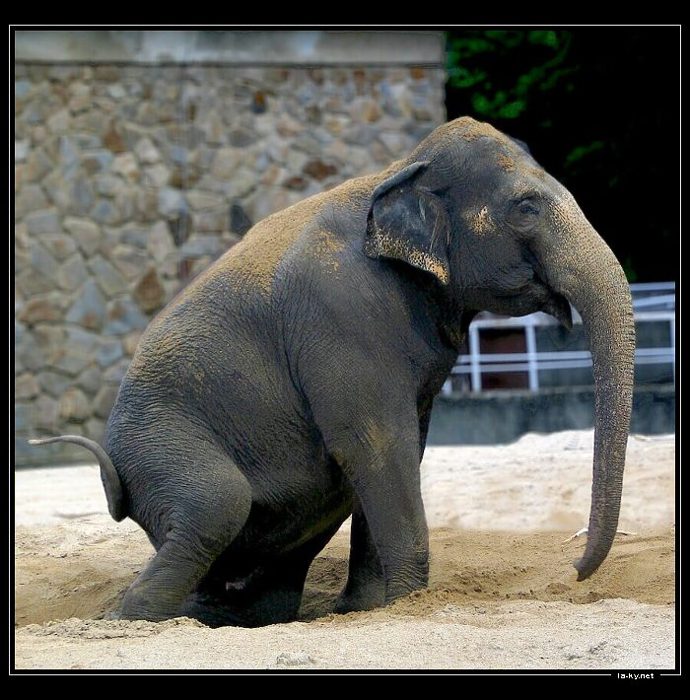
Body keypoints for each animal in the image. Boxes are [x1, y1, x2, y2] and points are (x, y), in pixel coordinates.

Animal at [31, 117, 635, 627]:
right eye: (526, 207)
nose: (574, 571)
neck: (398, 168)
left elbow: (400, 449)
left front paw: (367, 609)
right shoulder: (343, 314)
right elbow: (376, 444)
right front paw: (407, 603)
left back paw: (228, 617)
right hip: (157, 447)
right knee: (216, 503)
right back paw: (135, 618)